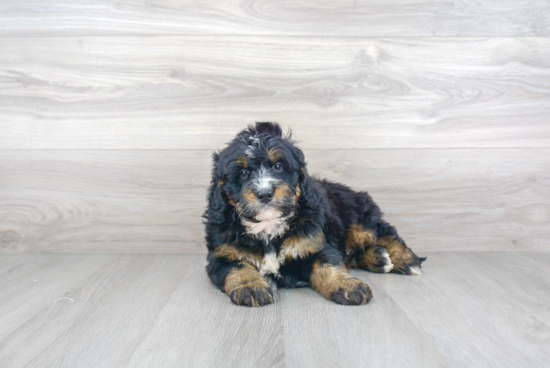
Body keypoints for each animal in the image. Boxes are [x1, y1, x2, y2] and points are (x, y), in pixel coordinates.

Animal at [206, 122, 426, 306]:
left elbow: (329, 265)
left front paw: (347, 286)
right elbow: (238, 267)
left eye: (278, 166)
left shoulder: (314, 244)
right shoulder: (221, 255)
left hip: (359, 218)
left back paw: (406, 260)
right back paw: (378, 258)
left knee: (385, 233)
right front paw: (250, 287)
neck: (268, 226)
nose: (265, 193)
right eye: (243, 173)